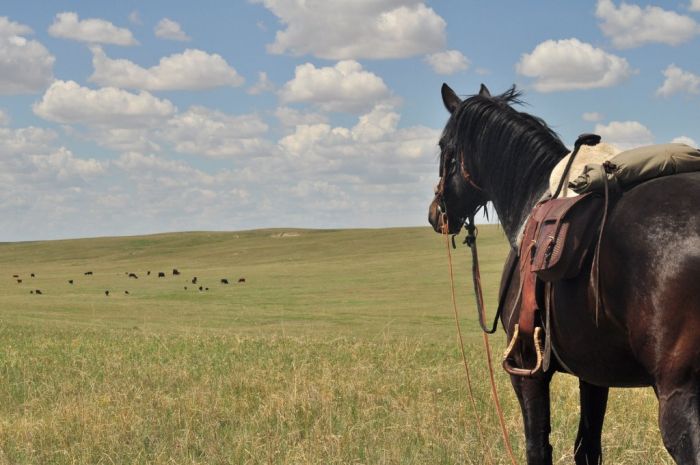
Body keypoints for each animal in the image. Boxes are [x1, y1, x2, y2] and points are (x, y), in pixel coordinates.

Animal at [426, 84, 700, 464]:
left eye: (444, 147)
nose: (435, 214)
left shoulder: (526, 366)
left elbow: (537, 447)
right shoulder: (594, 373)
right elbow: (587, 448)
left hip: (679, 394)